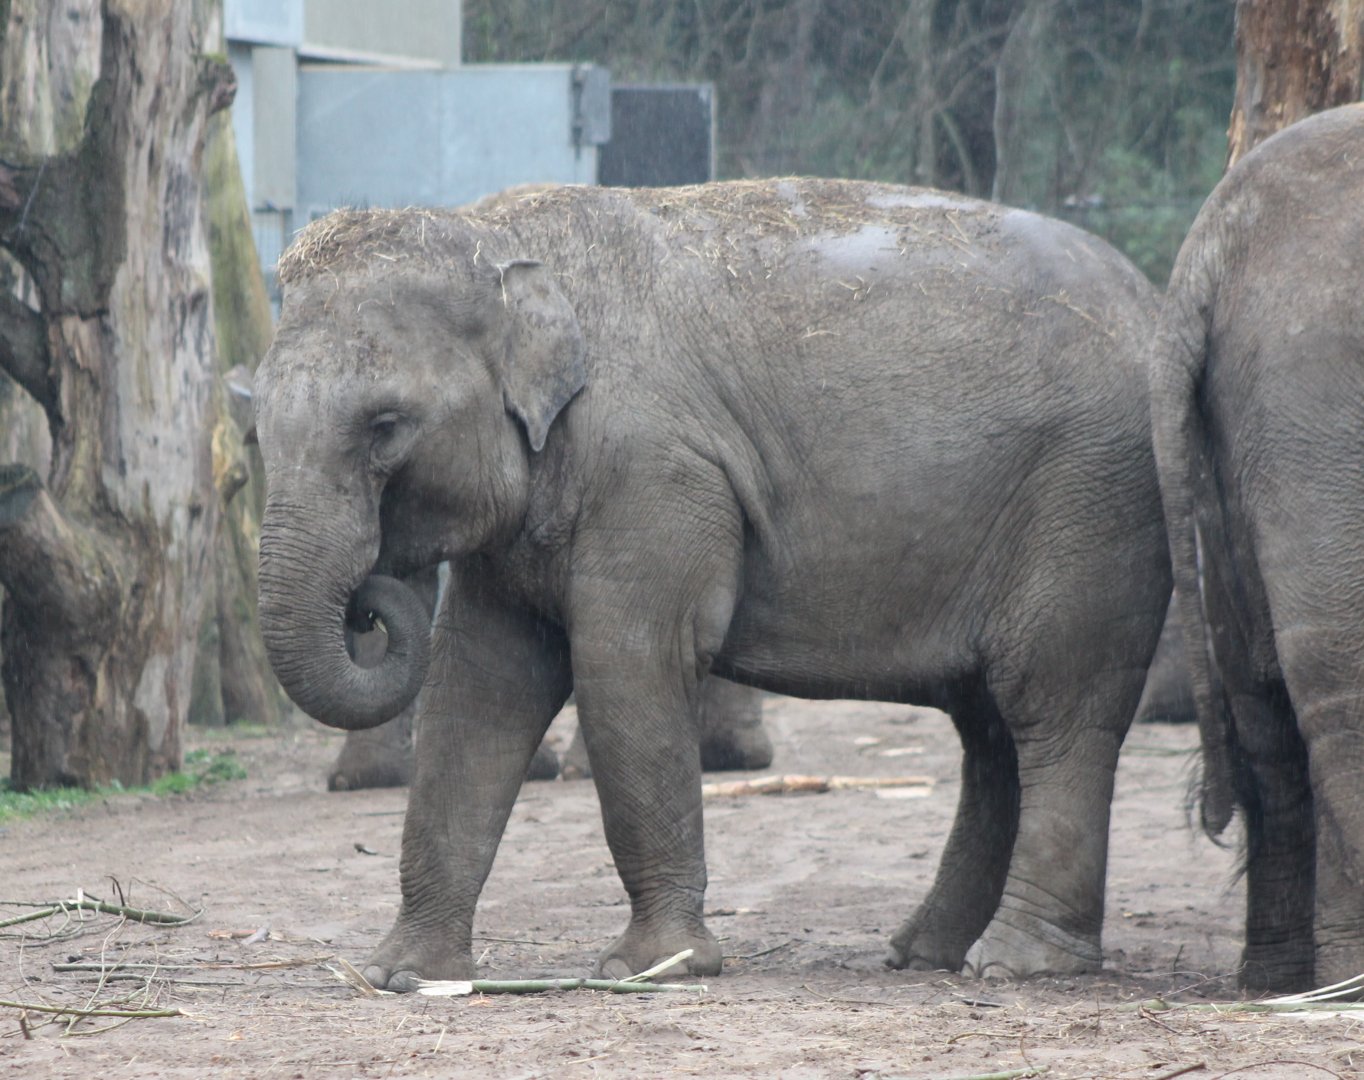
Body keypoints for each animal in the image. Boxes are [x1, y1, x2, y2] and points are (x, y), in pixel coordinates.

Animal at [253, 178, 1170, 990]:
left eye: (385, 425)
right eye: (257, 423)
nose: (370, 603)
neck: (496, 234)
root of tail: (1150, 296)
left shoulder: (656, 471)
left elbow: (629, 668)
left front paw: (651, 968)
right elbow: (477, 690)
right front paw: (400, 975)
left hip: (1090, 505)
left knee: (1051, 708)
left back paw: (1016, 964)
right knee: (990, 731)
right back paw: (924, 954)